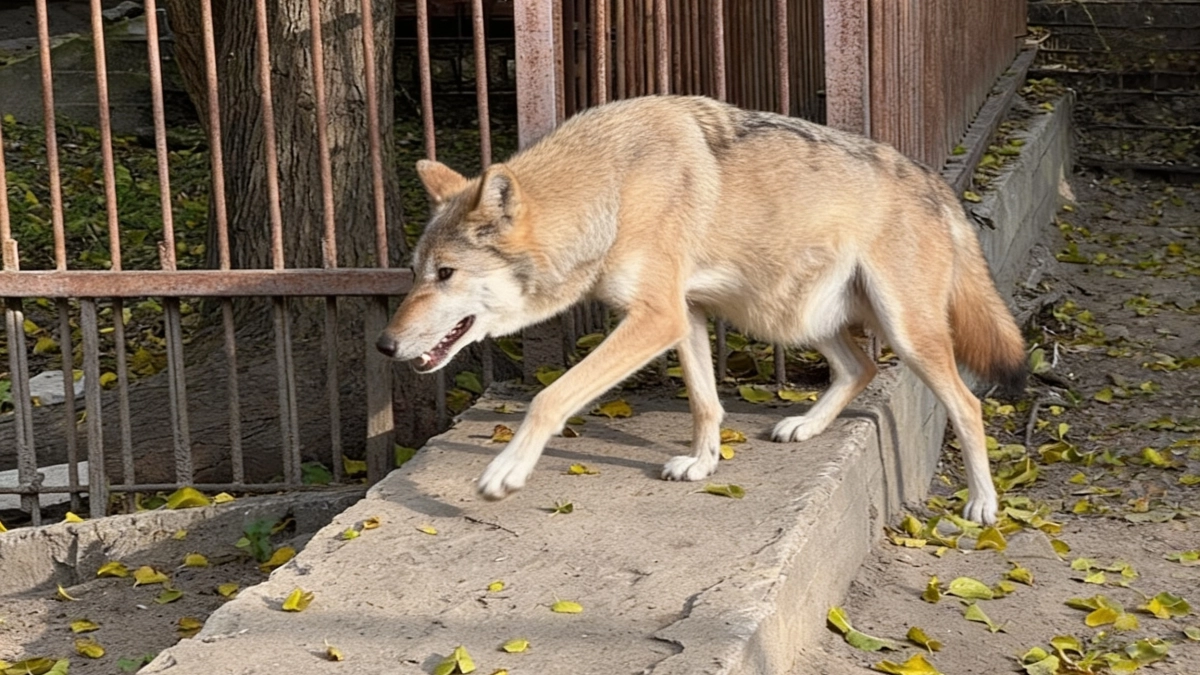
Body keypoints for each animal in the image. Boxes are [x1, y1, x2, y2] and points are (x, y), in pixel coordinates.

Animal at [375, 95, 1025, 525]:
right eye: (414, 272)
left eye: (445, 274)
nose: (384, 345)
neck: (613, 189)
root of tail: (937, 183)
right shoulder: (682, 315)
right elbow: (705, 403)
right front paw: (702, 463)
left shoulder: (654, 318)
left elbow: (548, 398)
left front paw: (505, 473)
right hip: (794, 316)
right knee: (859, 367)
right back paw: (805, 426)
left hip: (901, 332)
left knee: (966, 404)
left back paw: (982, 503)